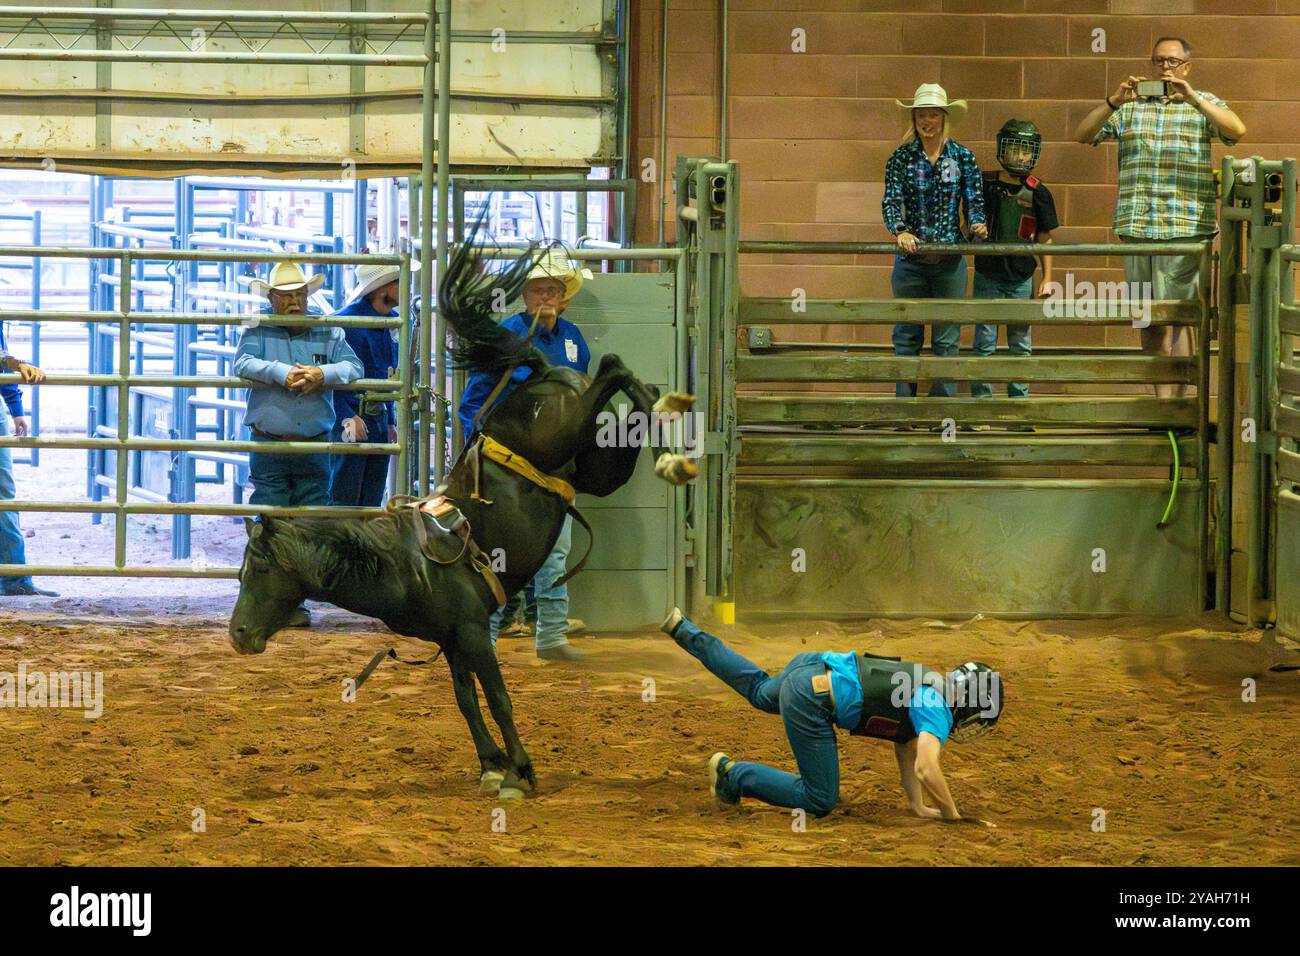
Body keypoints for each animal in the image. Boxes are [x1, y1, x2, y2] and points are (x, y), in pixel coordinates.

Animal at [228, 227, 696, 796]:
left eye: (258, 569)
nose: (237, 636)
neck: (403, 564)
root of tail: (541, 371)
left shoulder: (472, 630)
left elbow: (497, 697)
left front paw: (520, 769)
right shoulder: (451, 641)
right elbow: (466, 700)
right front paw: (491, 763)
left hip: (568, 428)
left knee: (613, 368)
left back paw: (672, 442)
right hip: (598, 464)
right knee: (629, 400)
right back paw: (667, 424)